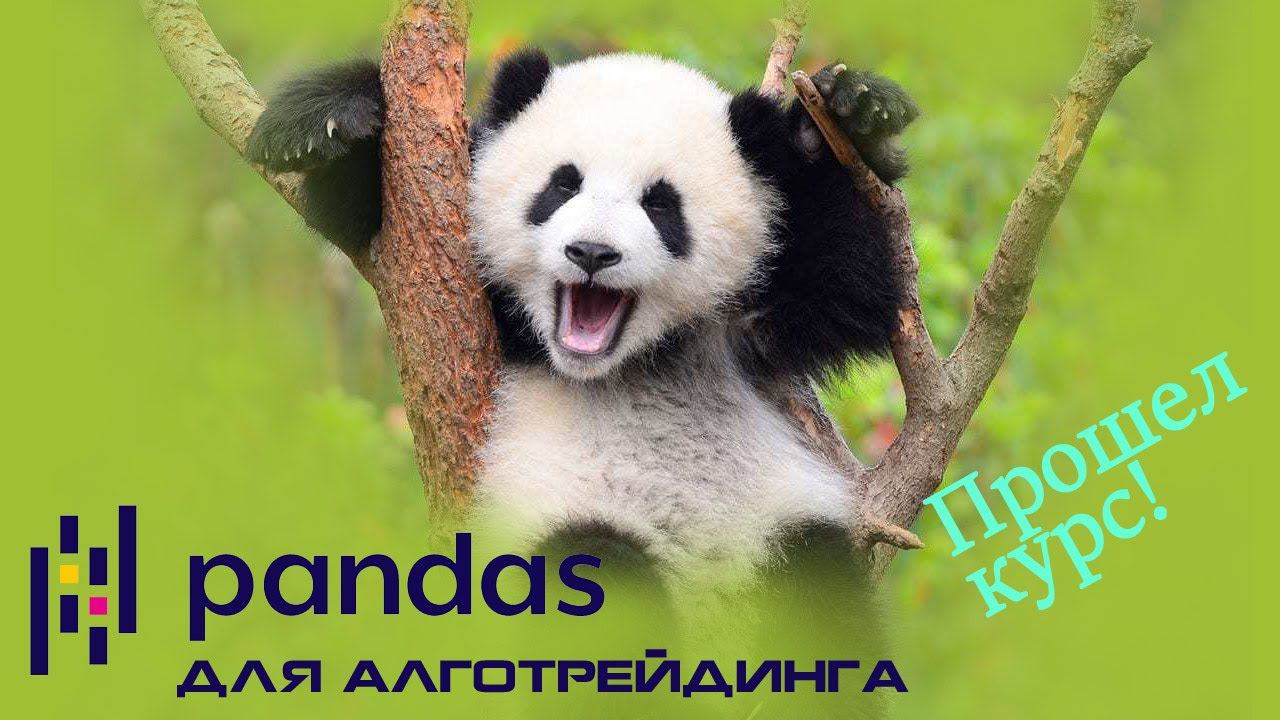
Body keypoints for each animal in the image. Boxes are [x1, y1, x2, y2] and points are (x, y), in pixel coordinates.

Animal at [248, 50, 917, 606]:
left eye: (660, 204)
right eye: (563, 184)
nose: (592, 253)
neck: (627, 362)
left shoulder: (752, 320)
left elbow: (854, 286)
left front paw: (844, 110)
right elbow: (375, 222)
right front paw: (328, 122)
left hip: (773, 532)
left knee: (814, 580)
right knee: (595, 566)